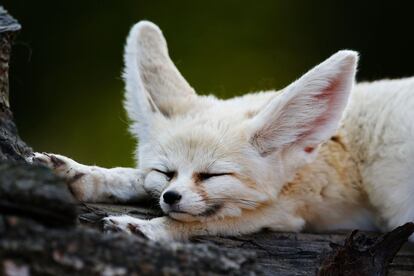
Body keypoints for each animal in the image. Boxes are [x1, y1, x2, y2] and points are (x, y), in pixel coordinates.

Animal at [30, 21, 414, 242]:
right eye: (166, 172)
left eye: (213, 175)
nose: (172, 197)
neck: (335, 150)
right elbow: (136, 177)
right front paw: (78, 173)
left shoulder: (290, 210)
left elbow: (205, 221)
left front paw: (146, 228)